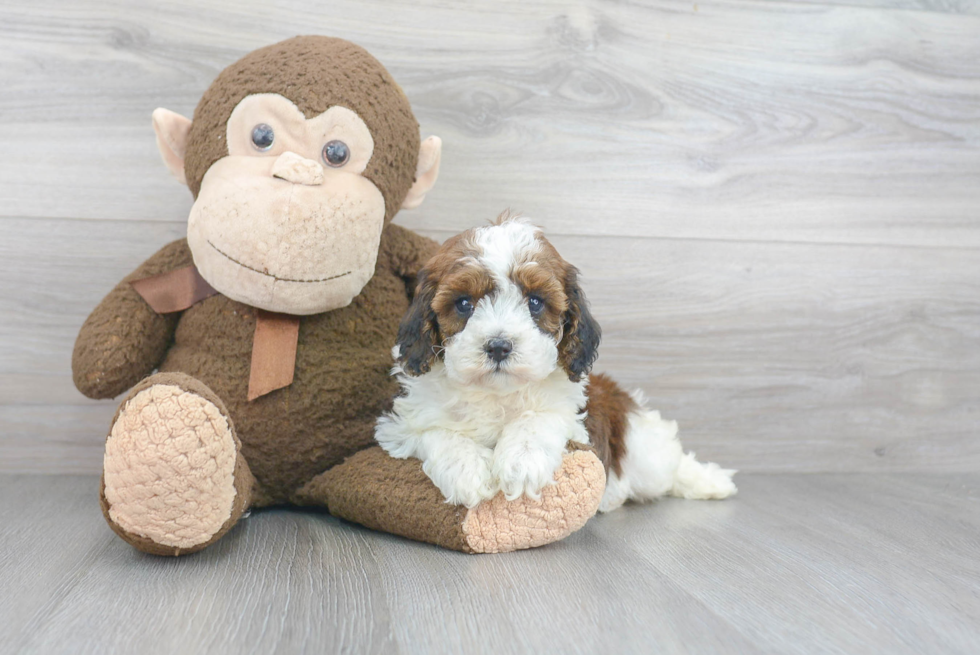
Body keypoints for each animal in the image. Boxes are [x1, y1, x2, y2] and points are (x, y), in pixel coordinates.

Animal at [376, 218, 736, 510]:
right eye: (464, 304)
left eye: (535, 302)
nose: (498, 346)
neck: (496, 394)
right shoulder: (404, 424)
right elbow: (437, 432)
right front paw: (468, 471)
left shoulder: (570, 412)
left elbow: (538, 418)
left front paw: (521, 462)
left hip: (644, 451)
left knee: (670, 465)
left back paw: (710, 482)